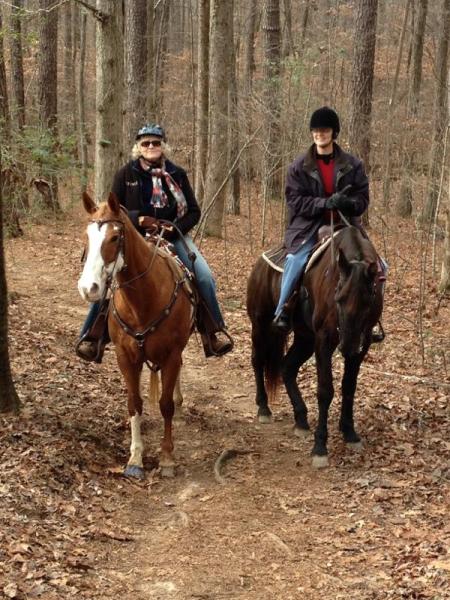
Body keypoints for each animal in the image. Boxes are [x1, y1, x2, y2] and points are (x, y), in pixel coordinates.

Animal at [78, 192, 194, 478]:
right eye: (87, 236)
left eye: (114, 237)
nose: (88, 288)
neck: (144, 299)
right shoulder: (125, 357)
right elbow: (134, 403)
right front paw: (135, 458)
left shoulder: (171, 355)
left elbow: (165, 405)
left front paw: (167, 458)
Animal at [246, 227, 384, 466]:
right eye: (339, 297)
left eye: (368, 301)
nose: (347, 347)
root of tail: (260, 264)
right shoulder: (324, 341)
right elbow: (325, 391)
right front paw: (320, 446)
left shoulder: (362, 344)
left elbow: (349, 387)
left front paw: (350, 433)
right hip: (260, 325)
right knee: (258, 361)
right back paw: (264, 408)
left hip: (305, 339)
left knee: (287, 368)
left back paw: (301, 419)